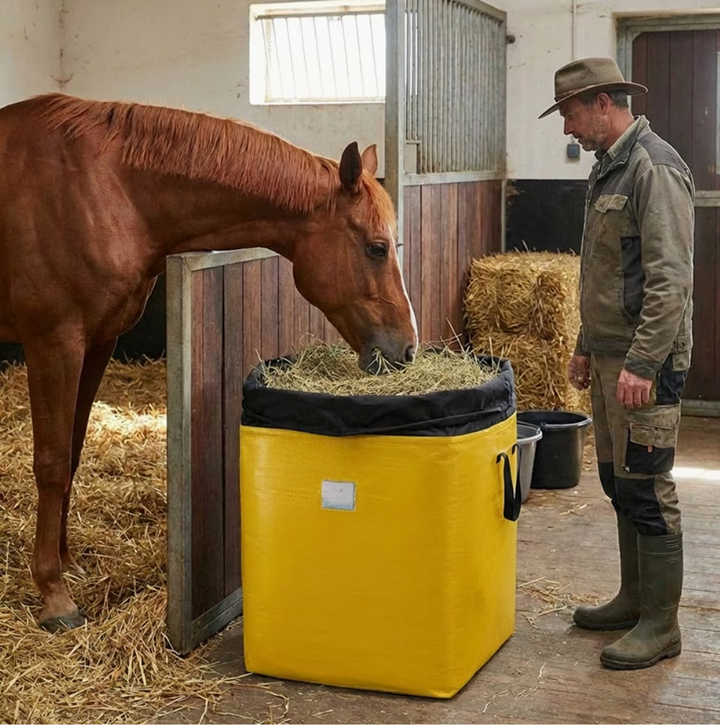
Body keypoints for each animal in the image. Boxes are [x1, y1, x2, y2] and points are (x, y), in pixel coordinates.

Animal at [0, 93, 418, 632]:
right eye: (376, 247)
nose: (406, 349)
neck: (104, 189)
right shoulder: (54, 342)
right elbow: (51, 462)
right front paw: (54, 595)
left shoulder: (97, 342)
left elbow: (71, 453)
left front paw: (67, 562)